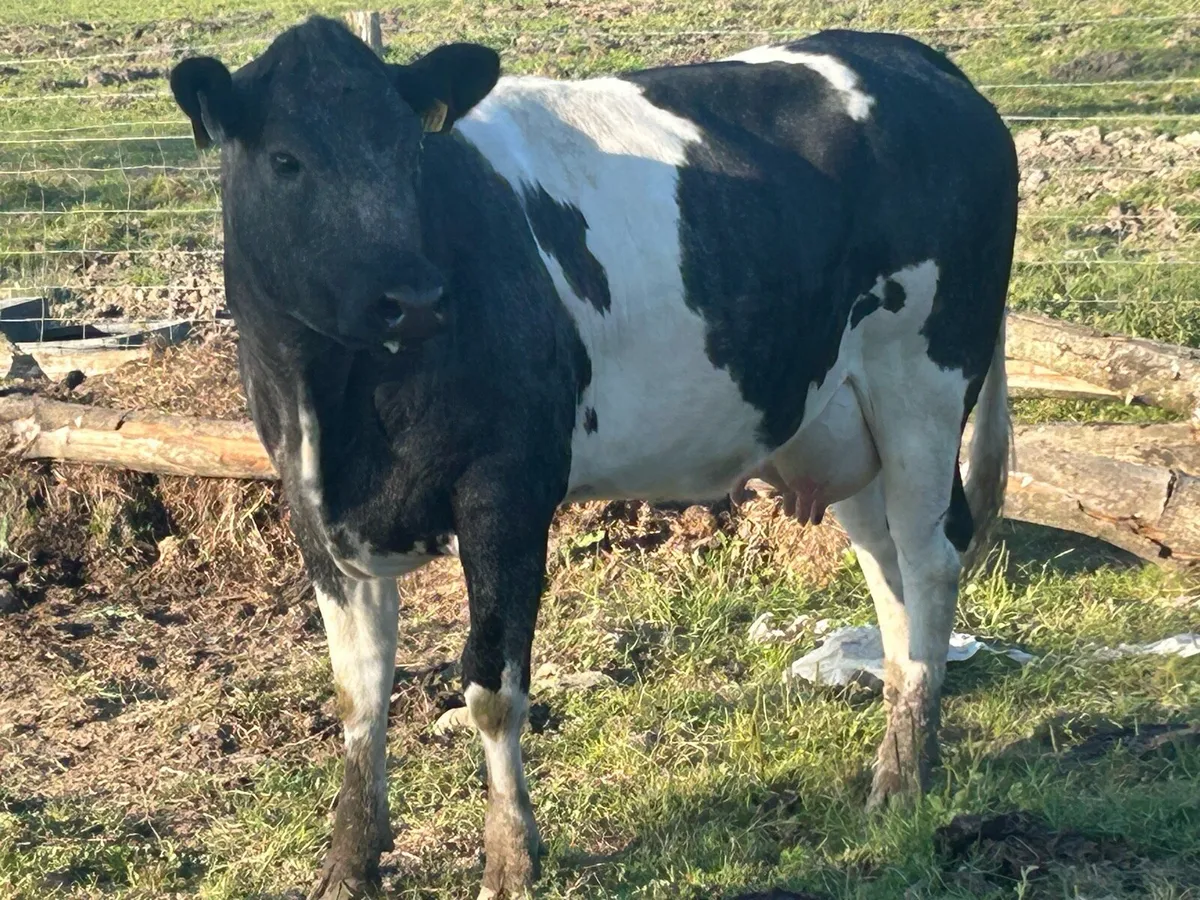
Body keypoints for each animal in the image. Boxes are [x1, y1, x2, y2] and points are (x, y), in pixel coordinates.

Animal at [169, 15, 1016, 898]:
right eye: (285, 160)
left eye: (411, 152)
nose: (415, 299)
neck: (339, 406)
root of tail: (908, 54)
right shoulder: (312, 505)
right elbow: (358, 691)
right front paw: (348, 865)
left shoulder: (506, 491)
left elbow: (492, 686)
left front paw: (511, 859)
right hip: (839, 420)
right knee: (888, 574)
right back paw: (901, 746)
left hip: (924, 383)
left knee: (930, 562)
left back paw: (906, 776)